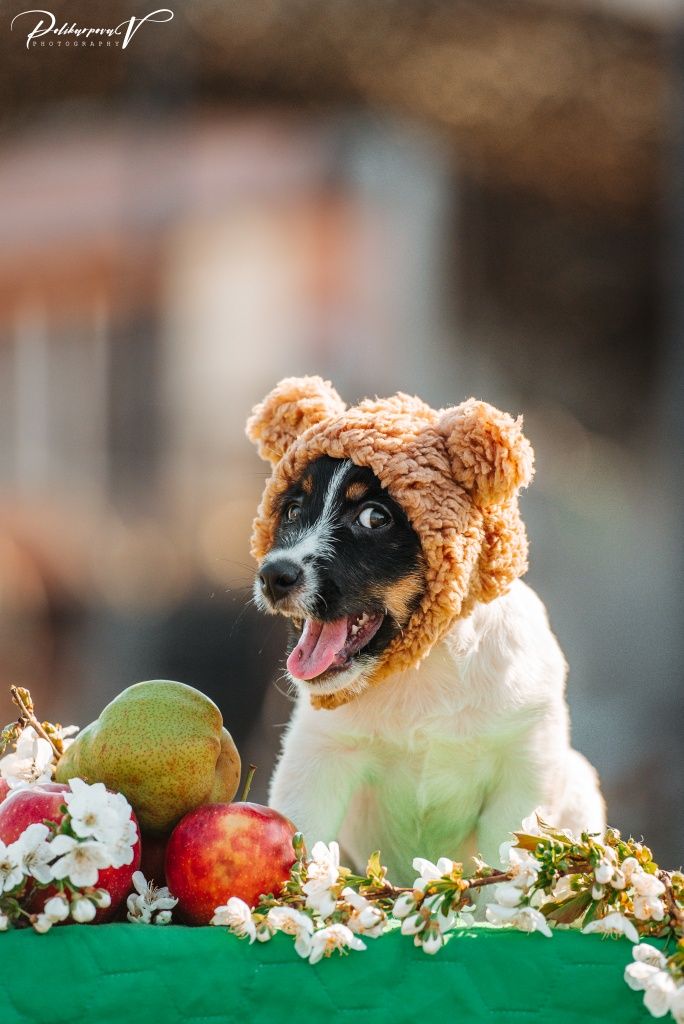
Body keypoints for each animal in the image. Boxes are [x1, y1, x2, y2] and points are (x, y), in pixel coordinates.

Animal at [245, 380, 602, 884]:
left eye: (374, 517)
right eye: (292, 510)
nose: (273, 575)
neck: (426, 668)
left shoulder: (523, 768)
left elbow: (506, 871)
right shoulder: (317, 760)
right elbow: (302, 842)